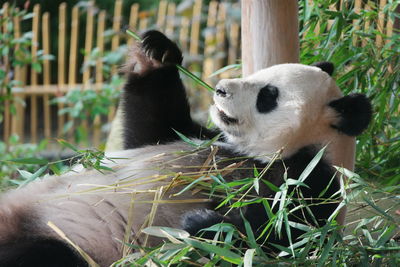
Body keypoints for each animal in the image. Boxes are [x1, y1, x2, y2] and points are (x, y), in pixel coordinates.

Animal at [0, 30, 372, 266]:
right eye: (261, 73)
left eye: (268, 96)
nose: (220, 89)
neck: (253, 153)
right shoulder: (199, 137)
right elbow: (149, 129)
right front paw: (156, 53)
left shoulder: (306, 181)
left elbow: (281, 239)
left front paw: (203, 224)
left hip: (73, 243)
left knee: (43, 254)